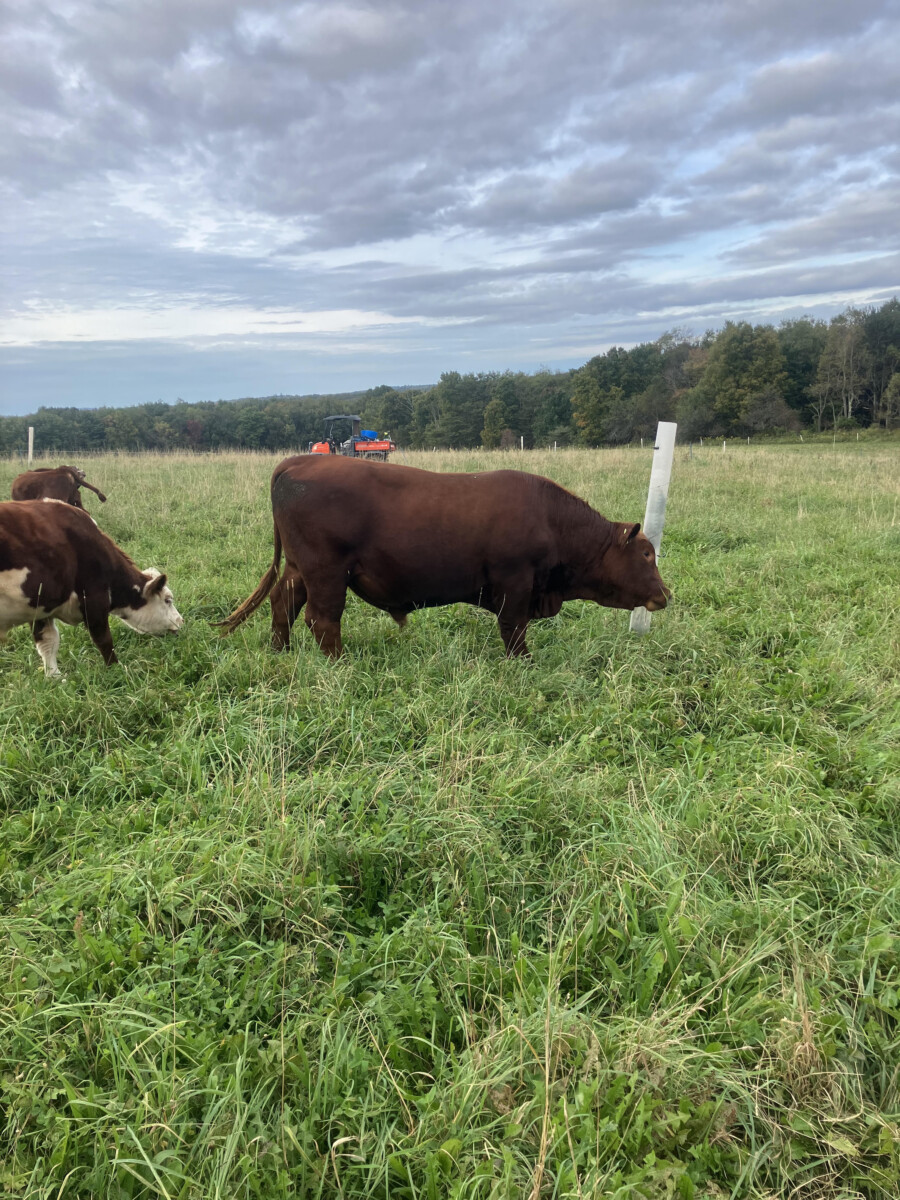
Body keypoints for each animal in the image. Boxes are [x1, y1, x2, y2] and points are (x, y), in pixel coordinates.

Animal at [0, 500, 182, 677]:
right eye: (168, 600)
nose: (181, 621)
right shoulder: (94, 598)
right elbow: (104, 640)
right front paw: (116, 669)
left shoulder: (40, 607)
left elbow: (48, 642)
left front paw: (54, 677)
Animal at [220, 456, 670, 659]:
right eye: (647, 553)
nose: (665, 594)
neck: (551, 519)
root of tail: (304, 458)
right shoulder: (514, 582)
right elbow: (514, 628)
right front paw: (522, 662)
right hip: (326, 571)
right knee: (322, 618)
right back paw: (338, 662)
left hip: (300, 569)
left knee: (283, 602)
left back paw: (280, 651)